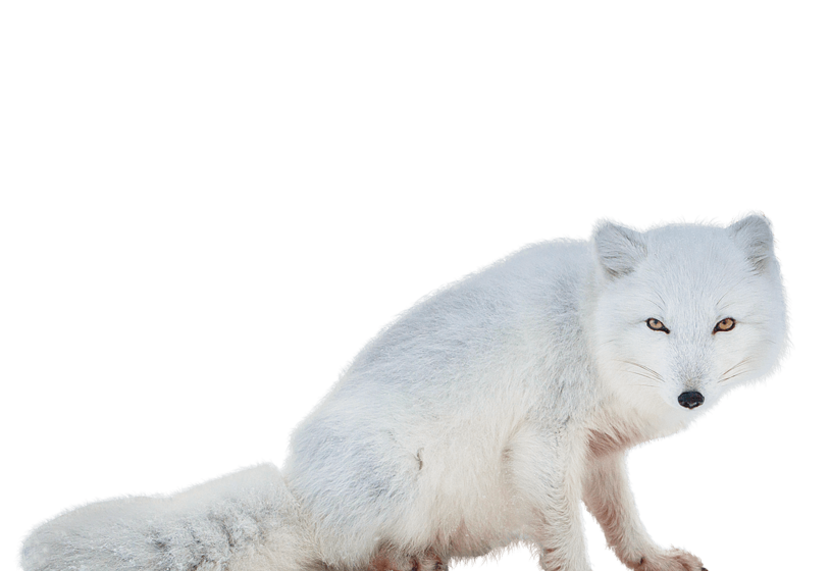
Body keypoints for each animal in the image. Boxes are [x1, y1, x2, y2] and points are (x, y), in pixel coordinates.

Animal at [15, 209, 795, 571]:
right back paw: (394, 561)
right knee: (339, 556)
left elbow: (621, 520)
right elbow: (567, 534)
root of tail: (296, 484)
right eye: (656, 323)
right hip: (392, 473)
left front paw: (650, 558)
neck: (589, 322)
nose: (690, 398)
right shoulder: (545, 443)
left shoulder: (599, 451)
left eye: (724, 323)